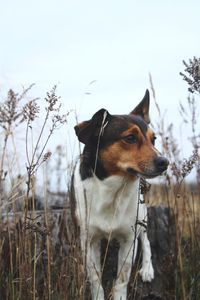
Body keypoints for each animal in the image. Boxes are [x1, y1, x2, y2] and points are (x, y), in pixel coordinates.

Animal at [72, 90, 168, 298]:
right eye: (130, 138)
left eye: (153, 139)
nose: (165, 162)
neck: (113, 188)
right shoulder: (89, 240)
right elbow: (95, 279)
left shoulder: (128, 239)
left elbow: (121, 280)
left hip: (142, 214)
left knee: (146, 239)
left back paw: (147, 268)